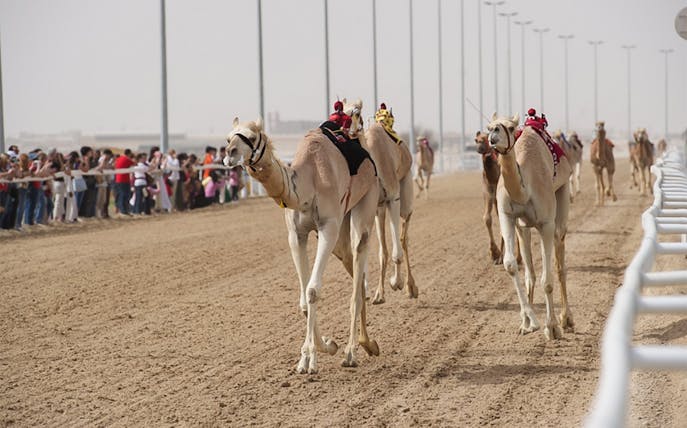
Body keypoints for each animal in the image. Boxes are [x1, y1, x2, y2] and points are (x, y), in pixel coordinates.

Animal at [224, 117, 380, 373]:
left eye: (254, 135)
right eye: (228, 137)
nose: (230, 153)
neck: (308, 183)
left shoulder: (328, 227)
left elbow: (312, 290)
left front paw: (309, 359)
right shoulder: (295, 235)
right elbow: (304, 299)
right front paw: (325, 346)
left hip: (366, 201)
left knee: (360, 259)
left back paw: (351, 352)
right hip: (342, 232)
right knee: (354, 267)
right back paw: (368, 344)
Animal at [345, 100, 418, 305]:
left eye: (357, 112)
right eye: (341, 109)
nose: (348, 130)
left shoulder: (393, 198)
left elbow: (396, 251)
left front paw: (397, 283)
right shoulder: (371, 207)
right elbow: (375, 251)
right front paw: (374, 293)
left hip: (404, 195)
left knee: (404, 237)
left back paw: (411, 288)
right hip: (380, 209)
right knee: (385, 247)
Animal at [487, 113, 573, 340]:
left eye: (510, 127)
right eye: (489, 126)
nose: (493, 135)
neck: (524, 190)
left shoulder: (546, 223)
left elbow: (547, 280)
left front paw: (551, 327)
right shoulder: (507, 216)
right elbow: (511, 265)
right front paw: (529, 322)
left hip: (562, 194)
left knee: (560, 262)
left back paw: (566, 319)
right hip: (522, 227)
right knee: (530, 271)